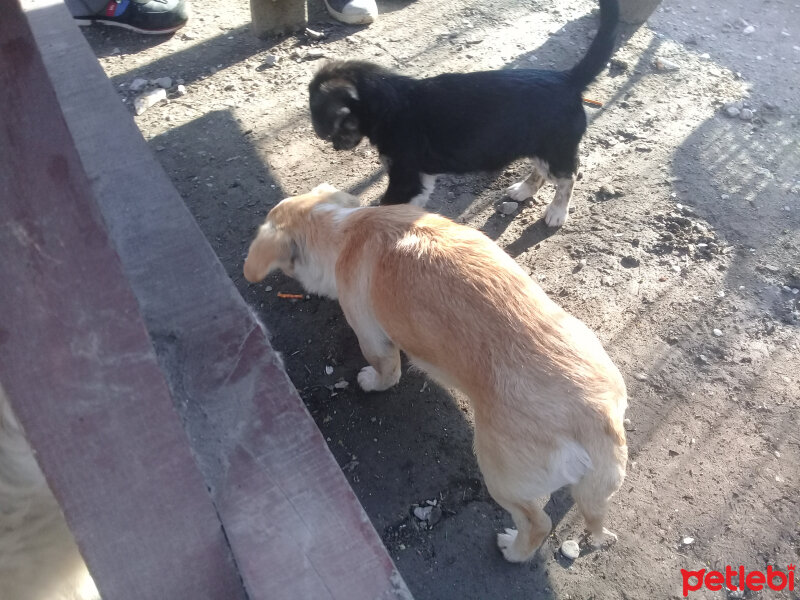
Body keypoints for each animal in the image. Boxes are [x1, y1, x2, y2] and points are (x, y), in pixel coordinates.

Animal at [244, 184, 624, 564]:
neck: (344, 228)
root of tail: (597, 416)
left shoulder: (372, 337)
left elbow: (386, 371)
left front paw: (370, 382)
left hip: (500, 477)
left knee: (537, 524)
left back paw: (513, 550)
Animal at [310, 0, 620, 226]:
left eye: (330, 125)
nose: (335, 147)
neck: (390, 102)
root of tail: (568, 79)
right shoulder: (419, 177)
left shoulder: (405, 175)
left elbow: (388, 205)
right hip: (539, 145)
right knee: (541, 171)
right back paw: (523, 190)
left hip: (556, 149)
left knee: (568, 177)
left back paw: (557, 212)